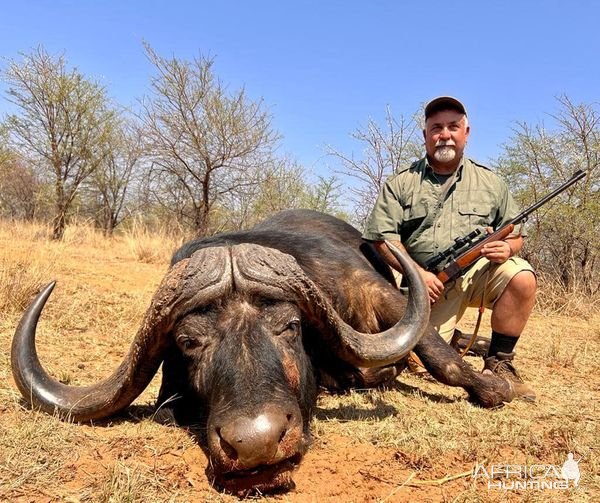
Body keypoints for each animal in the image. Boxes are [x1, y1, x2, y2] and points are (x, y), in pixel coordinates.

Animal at [10, 209, 516, 496]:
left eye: (290, 327)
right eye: (188, 343)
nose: (256, 443)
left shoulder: (372, 290)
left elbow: (439, 354)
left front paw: (494, 387)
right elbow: (166, 410)